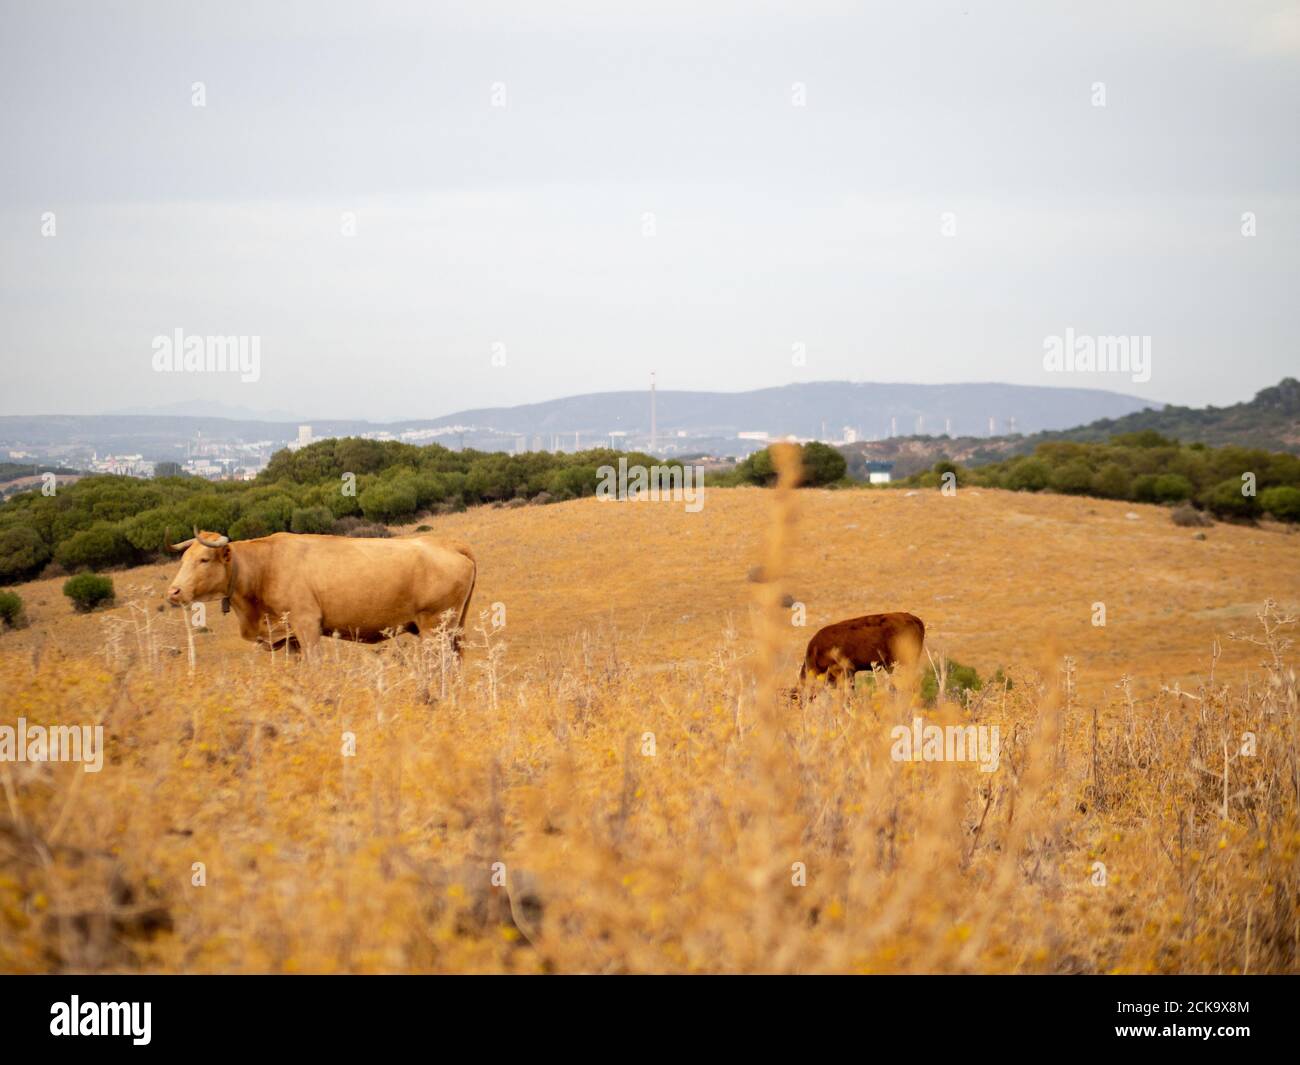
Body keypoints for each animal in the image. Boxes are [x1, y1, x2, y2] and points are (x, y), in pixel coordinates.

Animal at [165, 528, 477, 658]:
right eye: (183, 559)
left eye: (204, 559)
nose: (174, 591)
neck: (265, 566)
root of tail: (449, 544)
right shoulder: (288, 638)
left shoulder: (308, 625)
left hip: (435, 628)